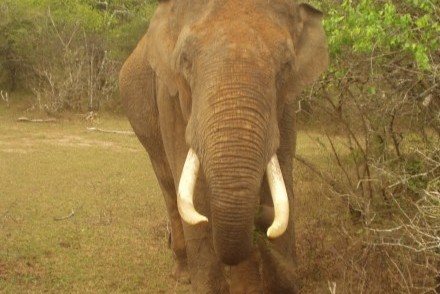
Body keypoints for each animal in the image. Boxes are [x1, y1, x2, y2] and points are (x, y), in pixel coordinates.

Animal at [118, 0, 328, 292]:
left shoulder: (285, 105)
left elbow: (283, 177)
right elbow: (195, 196)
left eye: (287, 65)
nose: (261, 218)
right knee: (169, 186)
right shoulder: (169, 96)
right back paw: (183, 274)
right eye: (185, 60)